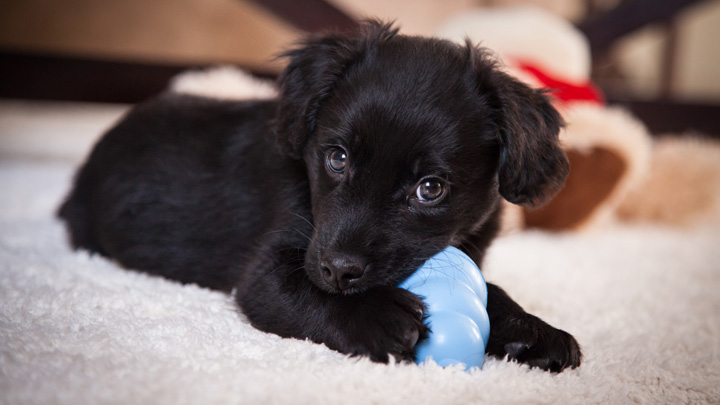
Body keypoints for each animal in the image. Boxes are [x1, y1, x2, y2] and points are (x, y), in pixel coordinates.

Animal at [59, 21, 584, 370]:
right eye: (337, 158)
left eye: (430, 189)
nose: (339, 271)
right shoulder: (266, 272)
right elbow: (298, 289)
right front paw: (376, 315)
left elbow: (492, 289)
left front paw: (532, 331)